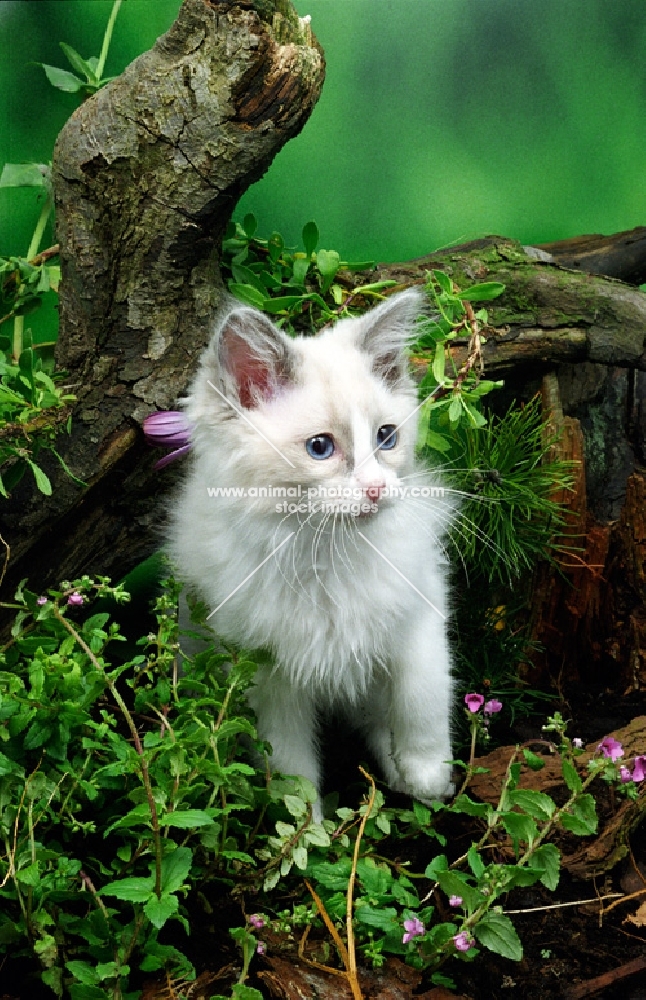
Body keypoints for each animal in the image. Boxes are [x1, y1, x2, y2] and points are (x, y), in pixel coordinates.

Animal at [170, 286, 458, 816]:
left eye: (386, 437)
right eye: (320, 448)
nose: (375, 489)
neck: (327, 551)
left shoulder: (420, 611)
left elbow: (422, 697)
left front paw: (429, 774)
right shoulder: (270, 680)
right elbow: (291, 770)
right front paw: (310, 830)